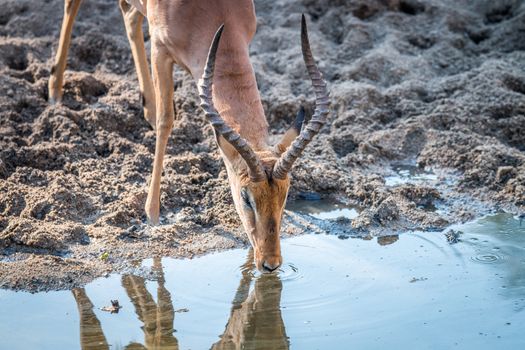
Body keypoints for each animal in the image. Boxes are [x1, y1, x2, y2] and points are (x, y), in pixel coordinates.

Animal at [49, 0, 328, 272]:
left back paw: (146, 105)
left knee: (128, 14)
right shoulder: (160, 50)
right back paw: (54, 91)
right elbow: (166, 121)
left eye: (285, 194)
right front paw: (151, 214)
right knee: (73, 5)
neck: (215, 12)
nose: (270, 264)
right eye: (245, 197)